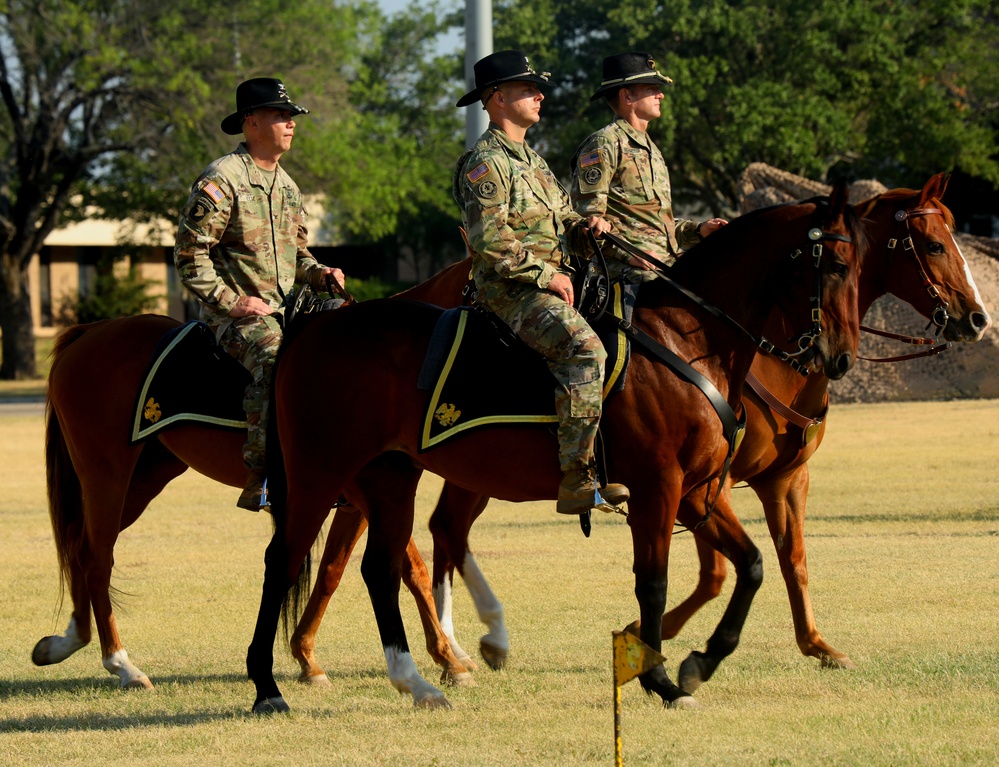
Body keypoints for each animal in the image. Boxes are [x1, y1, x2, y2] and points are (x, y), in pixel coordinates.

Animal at [290, 174, 992, 688]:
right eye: (932, 246)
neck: (696, 338)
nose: (977, 318)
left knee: (429, 537)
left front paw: (804, 646)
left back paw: (457, 647)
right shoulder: (671, 485)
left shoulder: (740, 482)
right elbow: (692, 574)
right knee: (384, 546)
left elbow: (771, 560)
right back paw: (431, 651)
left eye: (864, 261)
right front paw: (656, 646)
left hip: (432, 472)